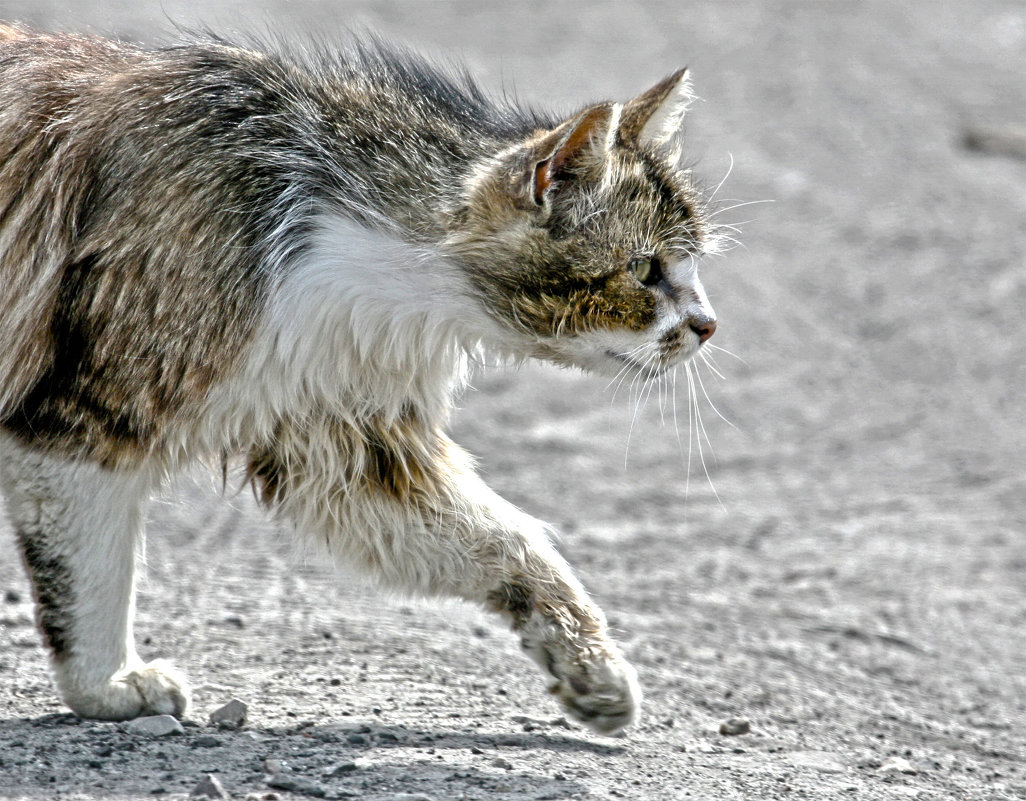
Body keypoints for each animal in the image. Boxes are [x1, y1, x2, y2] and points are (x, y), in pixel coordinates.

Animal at [0, 23, 722, 738]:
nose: (707, 324)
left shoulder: (344, 444)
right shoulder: (85, 421)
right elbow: (94, 574)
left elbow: (512, 544)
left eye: (691, 266)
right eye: (646, 270)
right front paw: (107, 684)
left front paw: (590, 666)